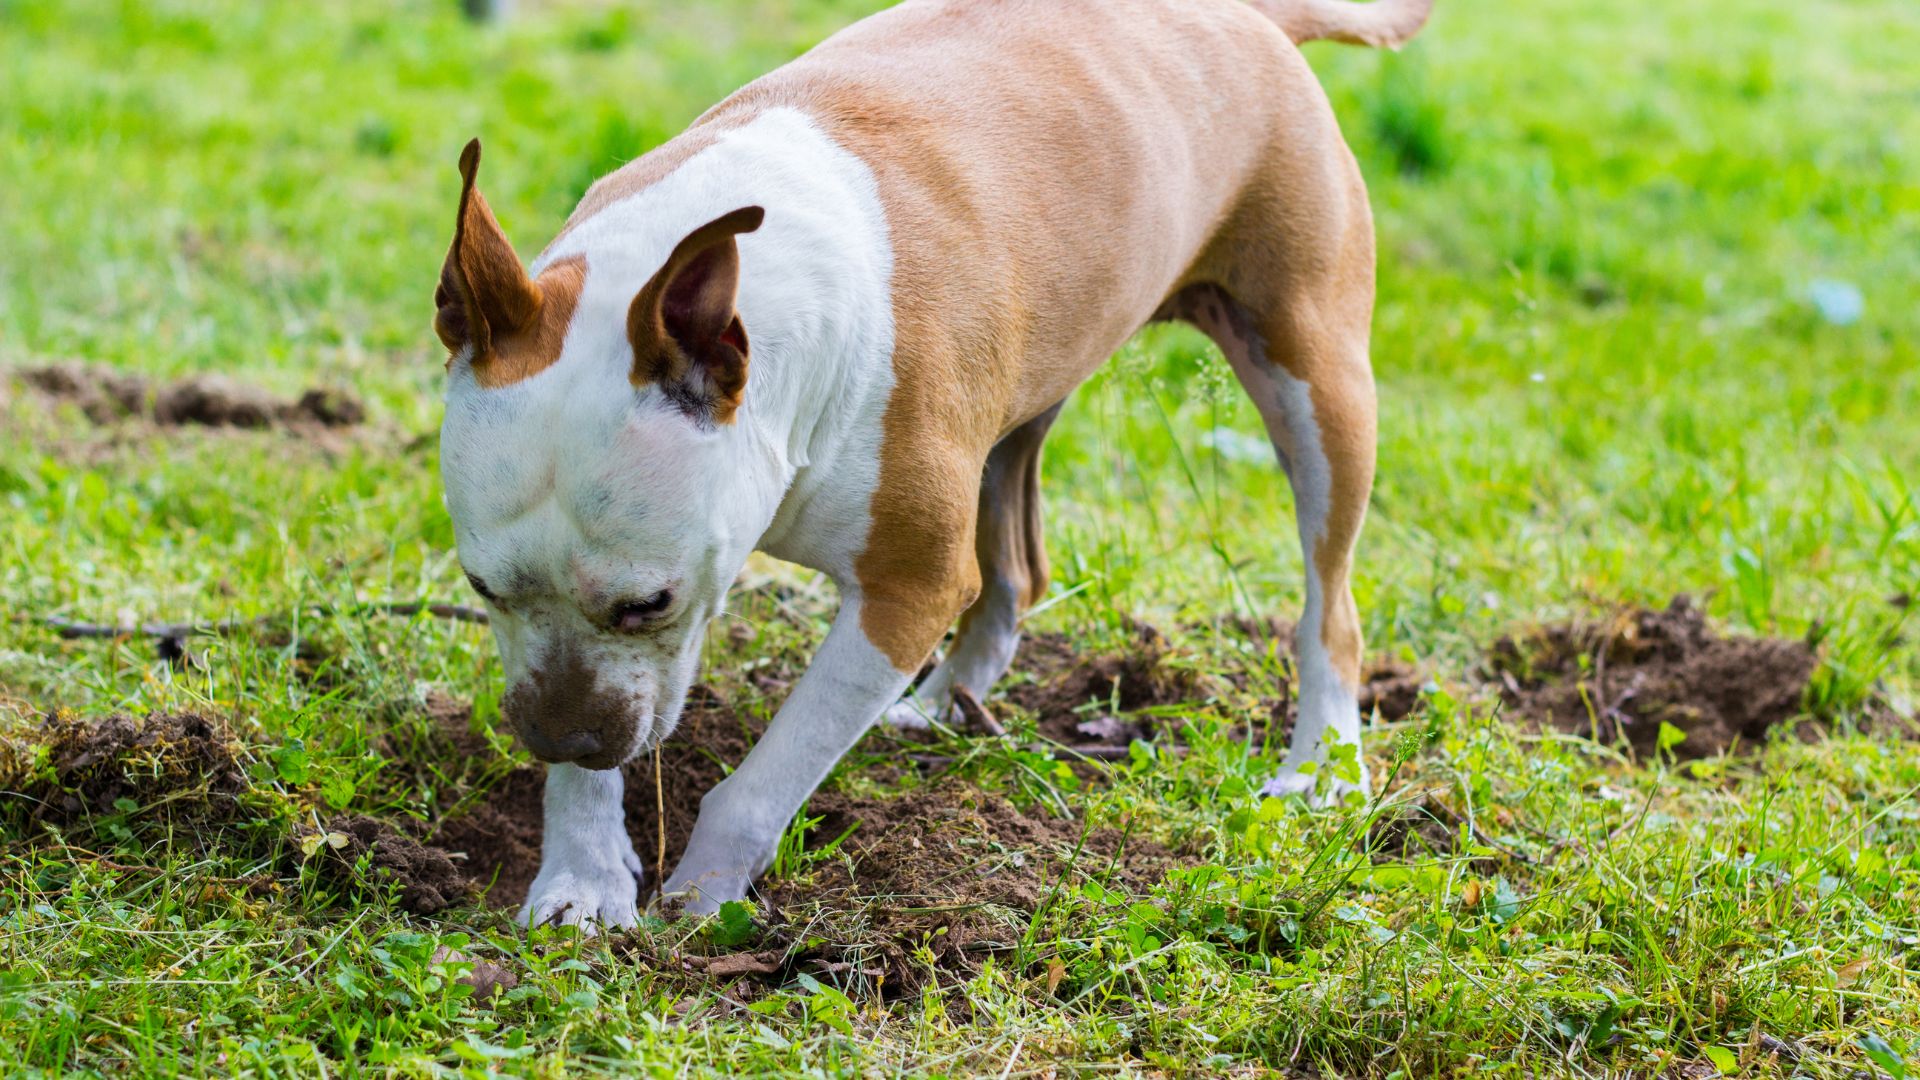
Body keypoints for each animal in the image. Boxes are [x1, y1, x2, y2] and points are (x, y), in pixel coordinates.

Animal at [435, 0, 1428, 926]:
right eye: (482, 589)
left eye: (650, 603)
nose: (559, 739)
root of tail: (1256, 17)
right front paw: (582, 872)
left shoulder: (905, 593)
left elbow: (763, 780)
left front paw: (703, 895)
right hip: (1017, 408)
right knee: (1016, 568)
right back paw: (951, 699)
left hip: (1319, 380)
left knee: (1331, 599)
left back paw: (1322, 766)